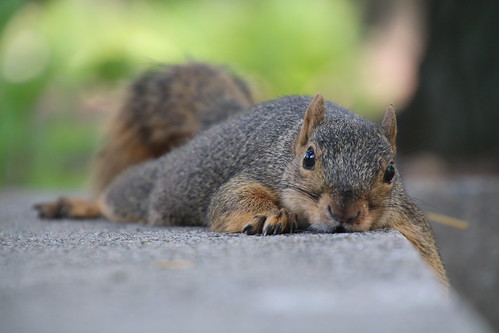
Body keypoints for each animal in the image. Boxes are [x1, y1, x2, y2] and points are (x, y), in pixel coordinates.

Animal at [34, 61, 450, 286]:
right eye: (309, 158)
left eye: (390, 171)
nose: (344, 213)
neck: (286, 149)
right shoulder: (251, 173)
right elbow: (231, 198)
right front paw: (270, 215)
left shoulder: (405, 215)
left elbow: (428, 252)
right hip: (150, 188)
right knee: (114, 196)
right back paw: (75, 205)